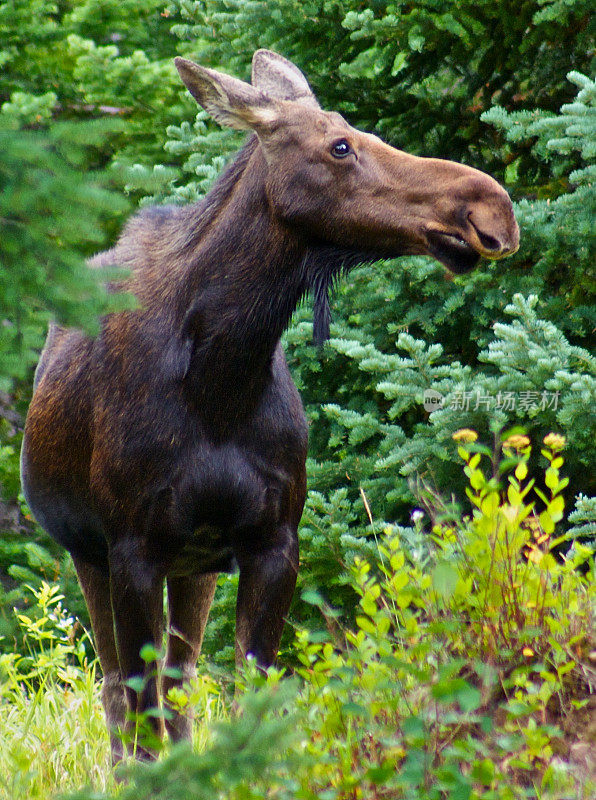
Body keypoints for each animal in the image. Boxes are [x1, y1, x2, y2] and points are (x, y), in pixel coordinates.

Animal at [21, 50, 520, 764]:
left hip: (195, 564)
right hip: (87, 550)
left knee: (178, 681)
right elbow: (142, 718)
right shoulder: (131, 547)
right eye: (339, 145)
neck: (223, 379)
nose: (493, 207)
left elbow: (248, 698)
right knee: (119, 700)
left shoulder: (272, 540)